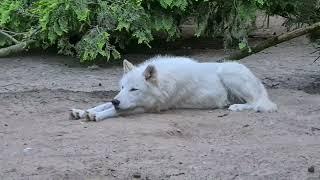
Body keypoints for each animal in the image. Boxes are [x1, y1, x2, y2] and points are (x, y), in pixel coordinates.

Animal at [70, 55, 278, 121]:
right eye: (122, 87)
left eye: (134, 89)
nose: (116, 100)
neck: (163, 82)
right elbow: (104, 104)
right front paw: (83, 111)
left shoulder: (148, 107)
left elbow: (114, 111)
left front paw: (96, 115)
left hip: (228, 72)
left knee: (258, 103)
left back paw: (235, 107)